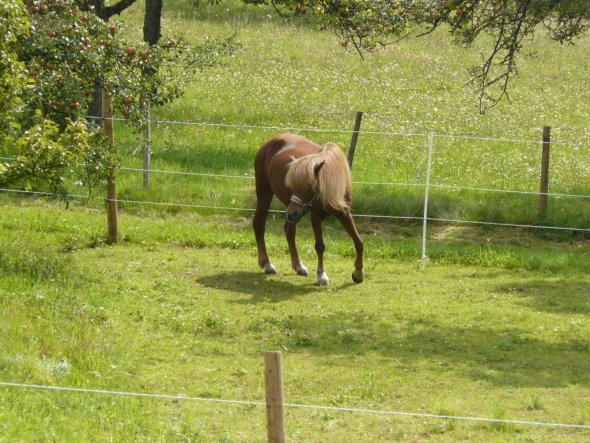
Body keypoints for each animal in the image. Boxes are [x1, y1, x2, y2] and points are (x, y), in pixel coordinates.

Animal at [254, 132, 366, 286]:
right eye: (293, 186)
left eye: (308, 187)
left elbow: (358, 242)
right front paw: (321, 276)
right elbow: (320, 246)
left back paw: (299, 266)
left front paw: (358, 274)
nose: (292, 214)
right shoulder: (316, 216)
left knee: (289, 231)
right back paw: (267, 264)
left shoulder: (344, 213)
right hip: (265, 192)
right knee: (259, 224)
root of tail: (271, 141)